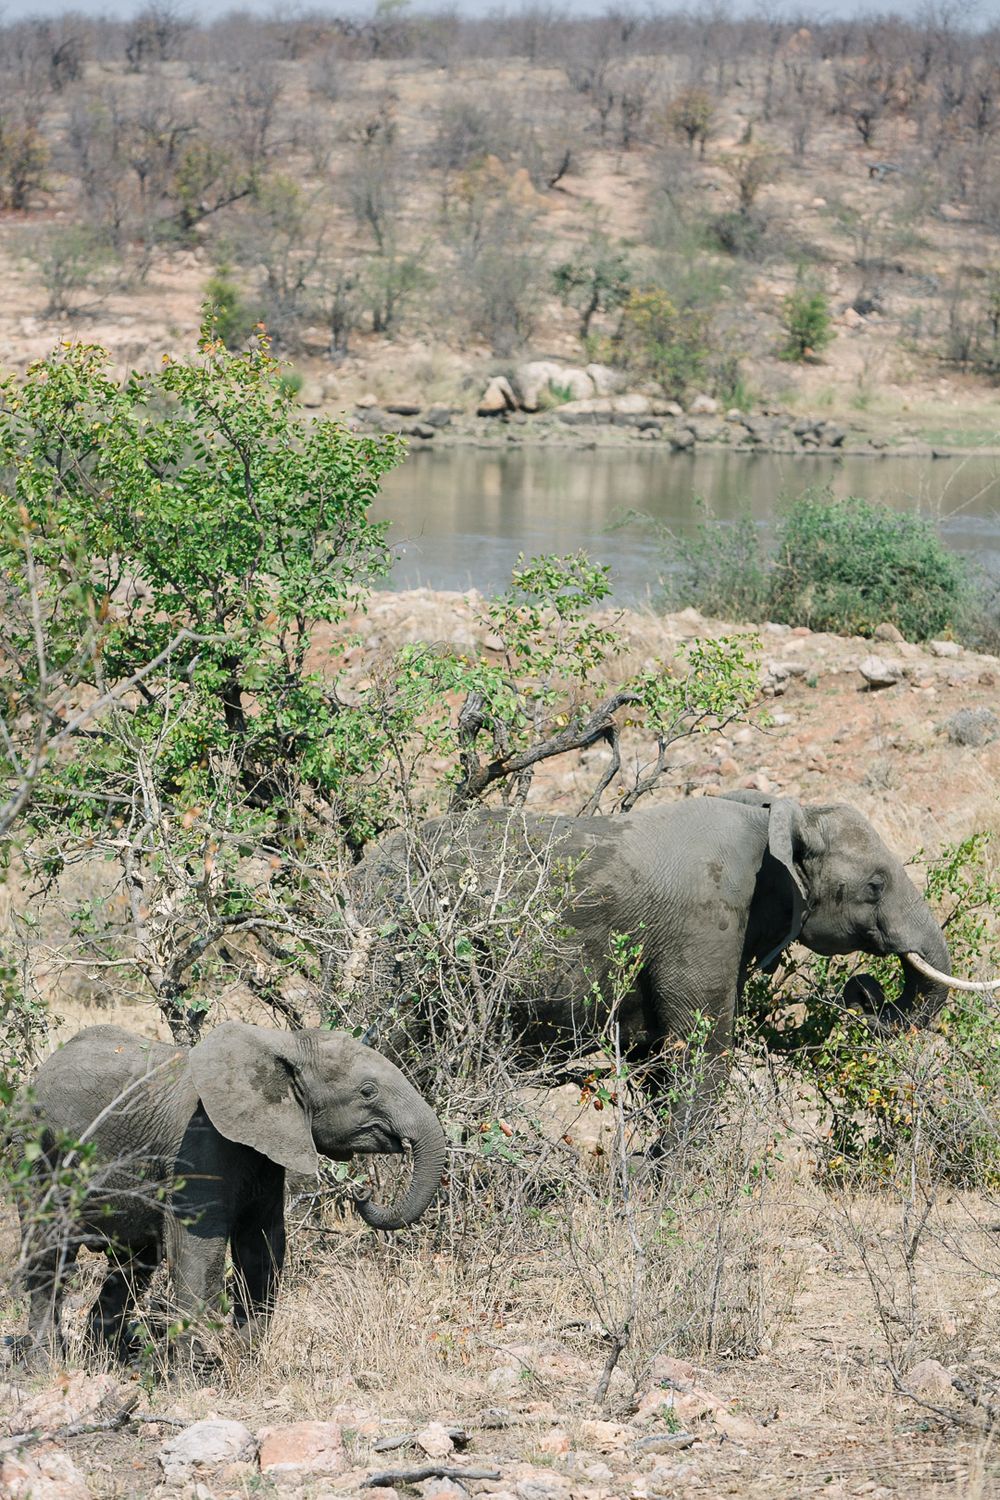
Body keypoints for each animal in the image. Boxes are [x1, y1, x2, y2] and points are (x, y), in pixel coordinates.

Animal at [13, 1021, 447, 1369]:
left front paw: (242, 1361)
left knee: (134, 1264)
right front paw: (197, 1376)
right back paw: (47, 1366)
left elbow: (261, 1243)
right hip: (35, 1152)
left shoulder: (264, 1150)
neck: (284, 1044)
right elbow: (198, 1245)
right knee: (49, 1255)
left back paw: (110, 1363)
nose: (364, 1193)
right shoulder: (198, 1144)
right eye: (368, 1091)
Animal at [342, 791, 990, 1122]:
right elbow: (701, 1051)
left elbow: (661, 1058)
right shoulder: (703, 920)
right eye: (876, 885)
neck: (776, 818)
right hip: (393, 949)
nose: (864, 993)